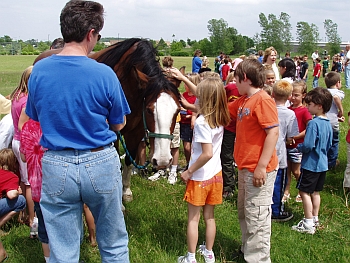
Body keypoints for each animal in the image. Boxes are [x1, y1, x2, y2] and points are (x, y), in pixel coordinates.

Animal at [34, 38, 185, 202]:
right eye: (149, 110)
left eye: (177, 110)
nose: (163, 160)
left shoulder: (135, 132)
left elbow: (128, 161)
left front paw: (126, 191)